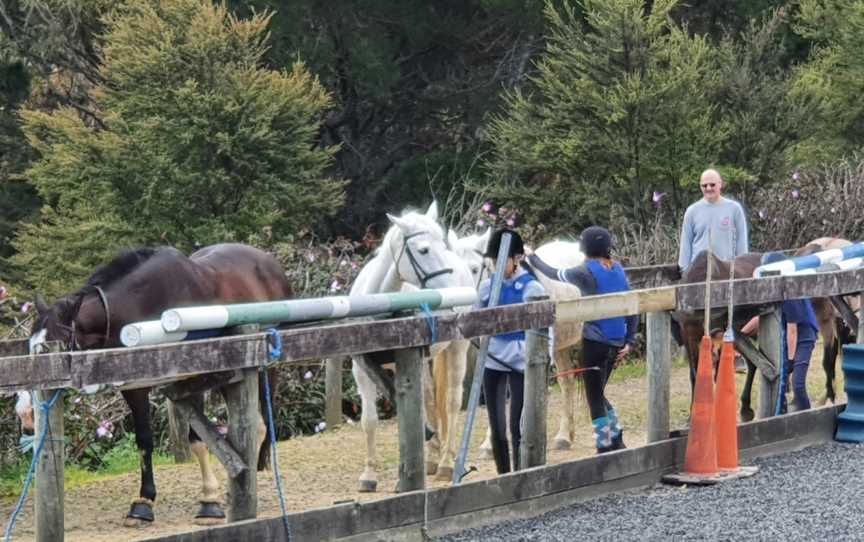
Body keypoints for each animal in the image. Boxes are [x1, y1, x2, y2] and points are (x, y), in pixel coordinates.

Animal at [17, 244, 290, 528]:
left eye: (49, 349)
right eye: (29, 346)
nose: (26, 414)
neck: (146, 304)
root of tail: (269, 262)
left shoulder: (194, 377)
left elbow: (197, 440)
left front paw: (209, 503)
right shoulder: (135, 388)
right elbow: (144, 442)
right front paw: (143, 504)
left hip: (265, 367)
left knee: (263, 422)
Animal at [352, 203, 472, 492]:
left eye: (441, 244)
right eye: (424, 250)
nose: (452, 292)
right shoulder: (362, 370)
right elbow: (370, 421)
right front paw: (369, 476)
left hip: (457, 349)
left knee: (451, 402)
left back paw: (446, 463)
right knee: (429, 400)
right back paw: (433, 458)